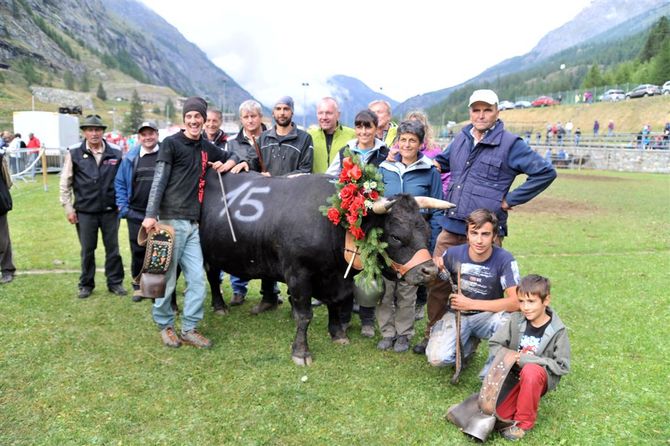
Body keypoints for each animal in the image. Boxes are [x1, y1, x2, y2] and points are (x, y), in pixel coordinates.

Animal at [201, 172, 452, 366]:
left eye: (427, 230)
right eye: (396, 236)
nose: (429, 271)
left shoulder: (337, 280)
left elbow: (336, 304)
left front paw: (338, 334)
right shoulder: (298, 276)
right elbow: (304, 316)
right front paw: (301, 352)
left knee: (212, 276)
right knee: (210, 277)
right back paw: (217, 307)